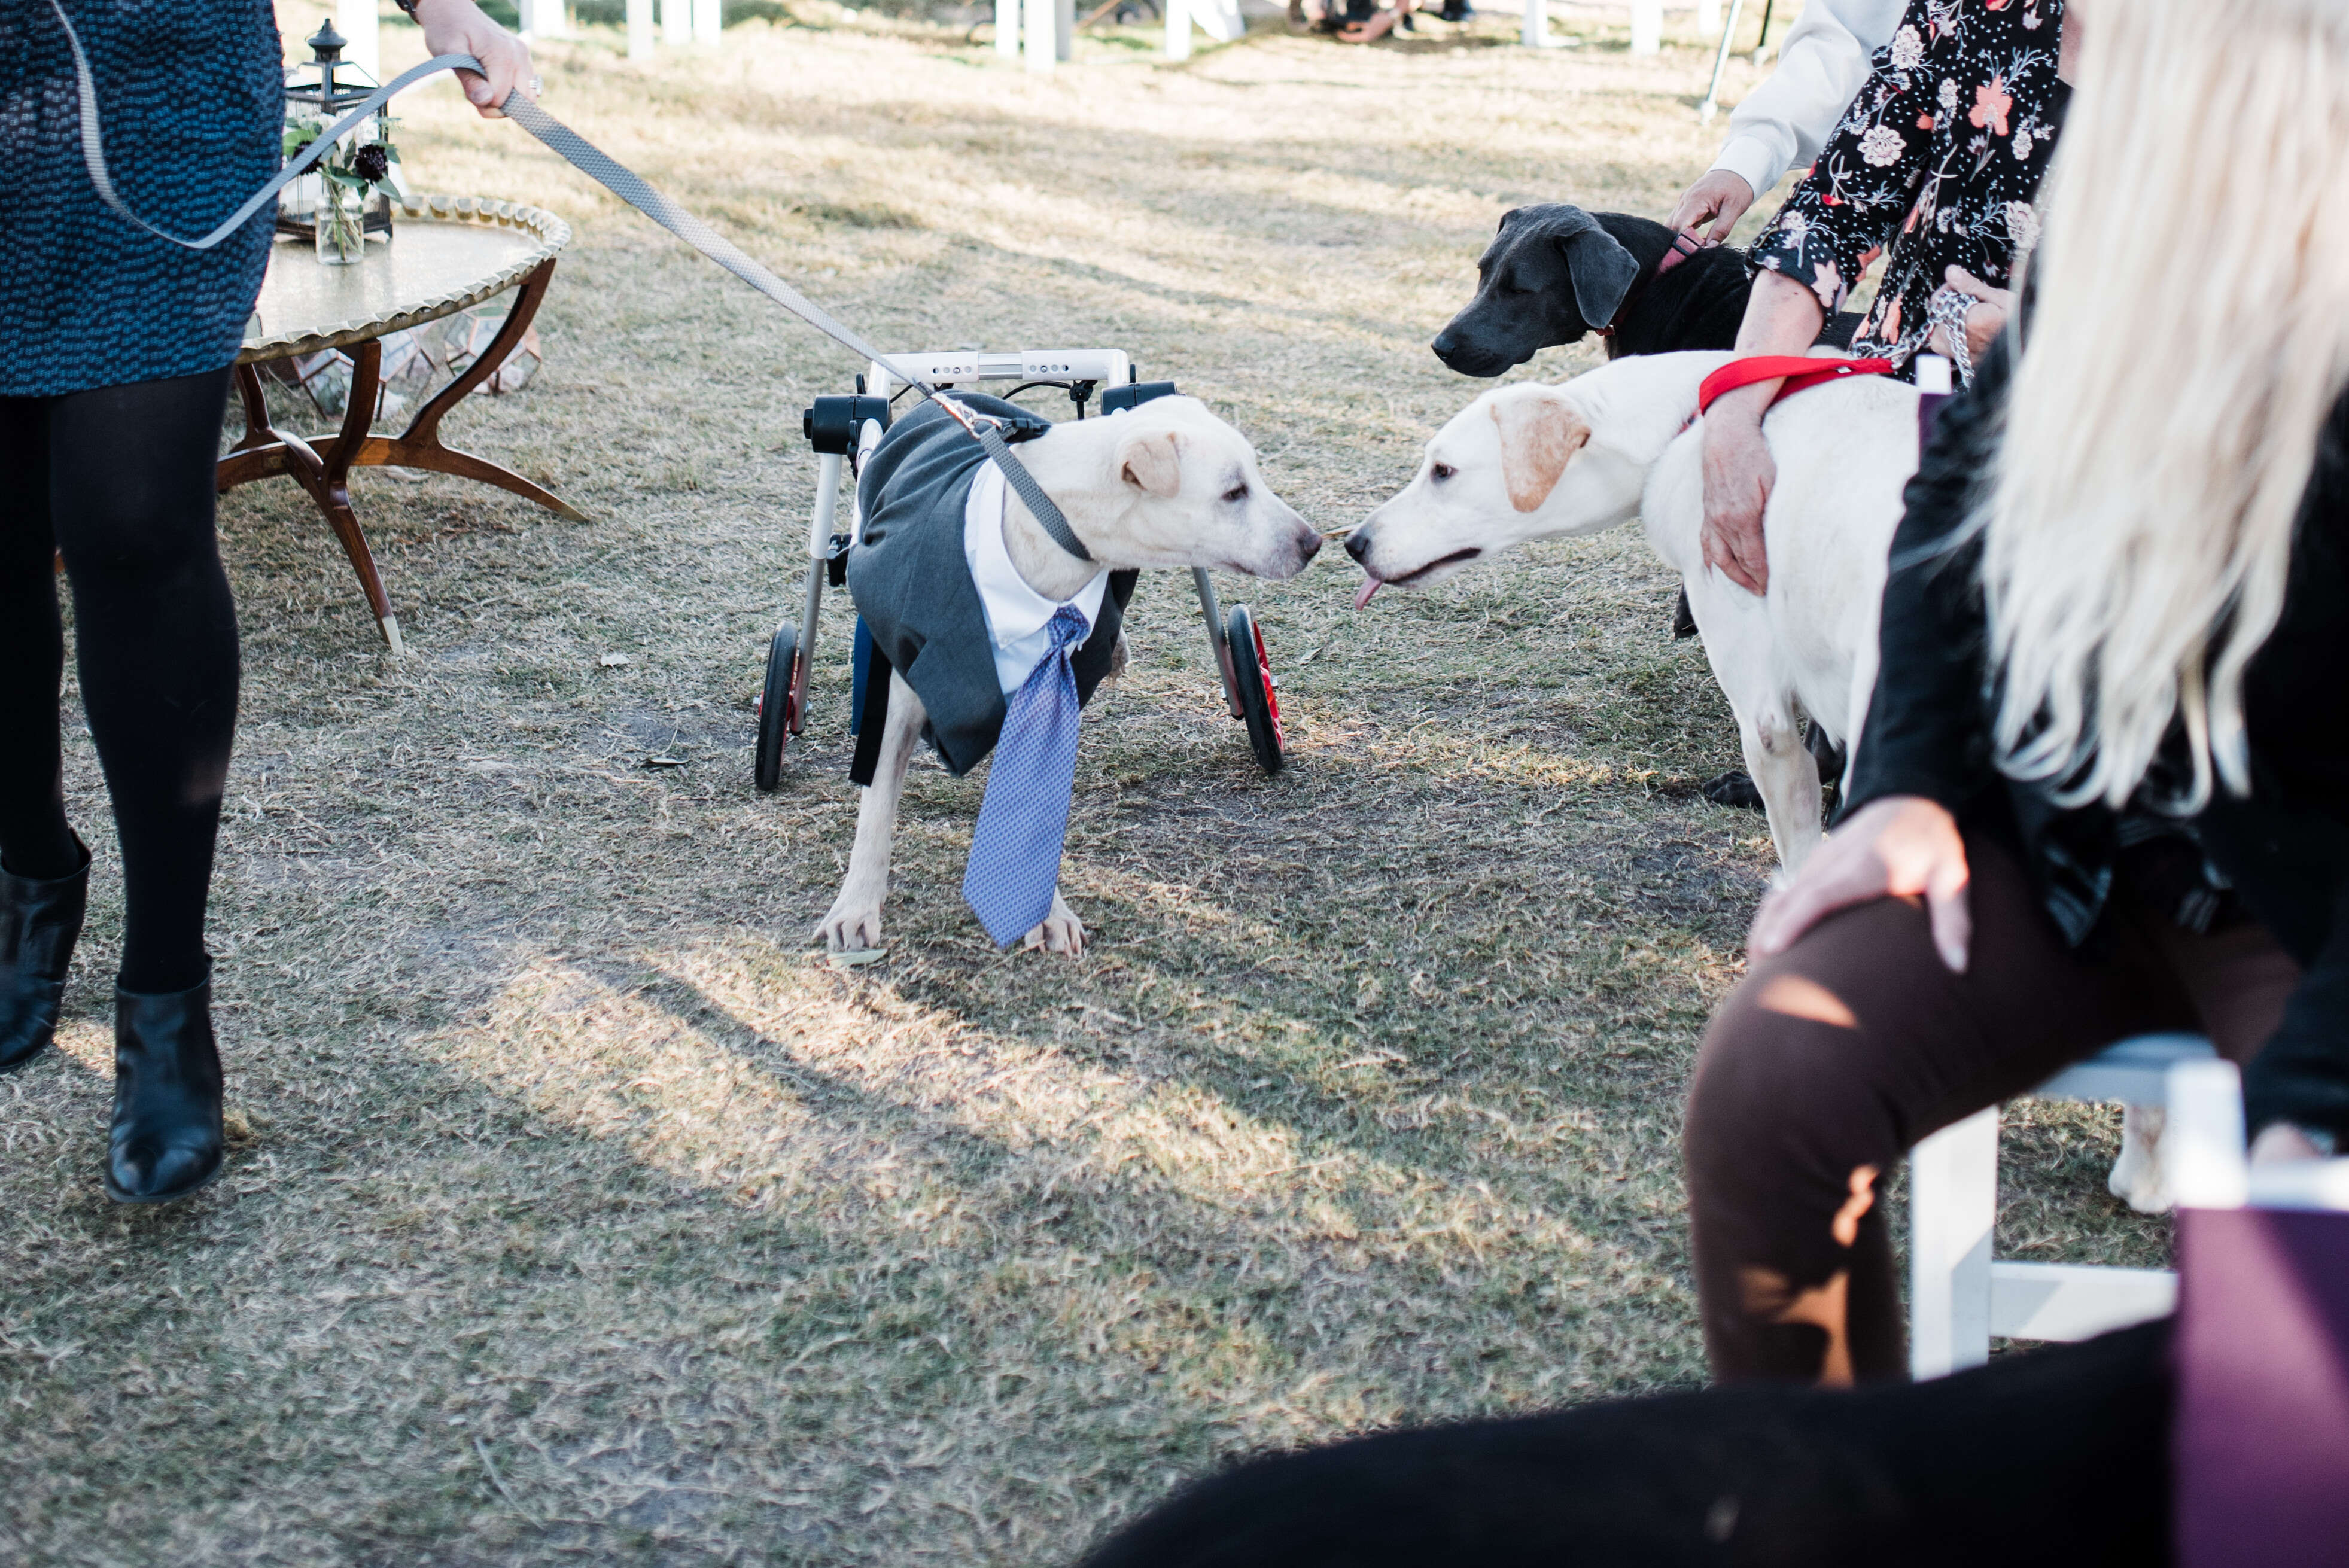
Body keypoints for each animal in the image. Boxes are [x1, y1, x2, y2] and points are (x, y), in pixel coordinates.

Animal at [817, 392, 1315, 957]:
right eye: (1234, 492)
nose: (1315, 542)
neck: (1050, 527)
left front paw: (1043, 912)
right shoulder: (899, 702)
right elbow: (877, 806)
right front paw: (857, 906)